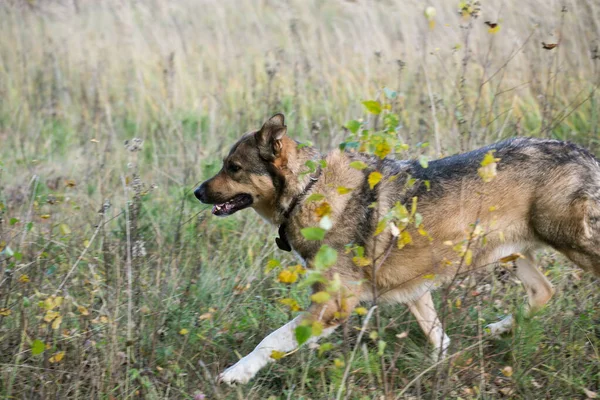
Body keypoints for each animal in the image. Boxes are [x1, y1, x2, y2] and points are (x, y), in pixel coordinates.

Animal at [195, 112, 600, 384]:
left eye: (233, 167)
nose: (197, 192)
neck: (307, 191)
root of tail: (584, 153)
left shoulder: (333, 304)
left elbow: (270, 340)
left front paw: (237, 373)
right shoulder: (415, 291)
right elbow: (438, 338)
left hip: (571, 241)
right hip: (511, 251)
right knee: (543, 291)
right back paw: (499, 328)